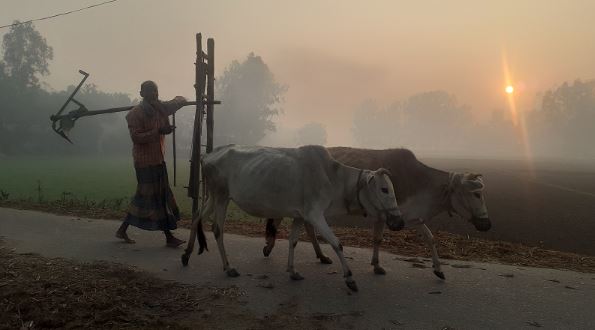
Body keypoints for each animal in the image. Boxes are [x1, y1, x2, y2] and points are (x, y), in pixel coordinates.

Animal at [183, 144, 406, 292]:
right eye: (384, 189)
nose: (399, 221)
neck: (333, 178)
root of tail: (208, 154)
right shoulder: (316, 215)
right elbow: (337, 244)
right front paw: (349, 278)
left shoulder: (301, 215)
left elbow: (293, 241)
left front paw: (292, 271)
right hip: (221, 196)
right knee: (217, 229)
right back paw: (228, 267)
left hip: (213, 196)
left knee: (196, 217)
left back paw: (186, 254)